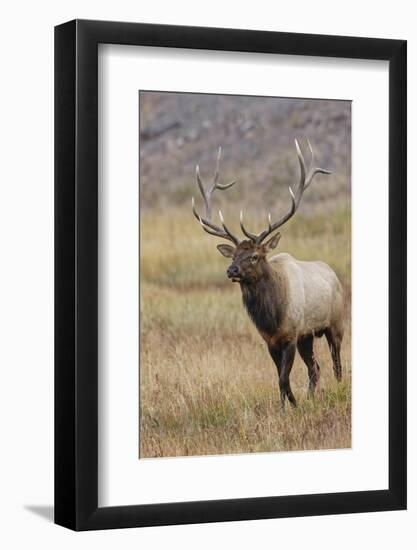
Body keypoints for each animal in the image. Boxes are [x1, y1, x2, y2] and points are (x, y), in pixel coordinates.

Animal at [190, 140, 342, 412]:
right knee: (315, 368)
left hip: (336, 323)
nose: (231, 270)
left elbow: (283, 377)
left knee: (336, 364)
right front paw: (289, 406)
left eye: (254, 256)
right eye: (233, 256)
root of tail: (333, 274)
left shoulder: (290, 335)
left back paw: (338, 388)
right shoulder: (270, 340)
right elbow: (280, 378)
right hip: (307, 337)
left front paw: (289, 409)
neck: (272, 317)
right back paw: (312, 398)